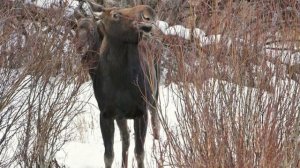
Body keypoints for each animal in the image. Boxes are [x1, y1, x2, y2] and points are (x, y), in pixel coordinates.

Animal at [73, 0, 161, 167]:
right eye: (115, 14)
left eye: (92, 29)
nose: (149, 14)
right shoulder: (106, 114)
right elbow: (108, 155)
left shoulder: (141, 112)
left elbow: (139, 153)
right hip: (122, 116)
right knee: (126, 139)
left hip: (154, 93)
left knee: (156, 123)